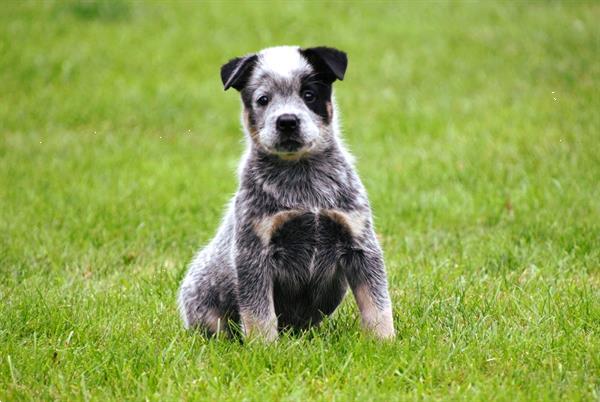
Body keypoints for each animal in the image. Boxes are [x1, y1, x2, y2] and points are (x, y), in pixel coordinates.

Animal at [178, 45, 394, 340]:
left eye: (309, 94)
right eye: (263, 99)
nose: (287, 121)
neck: (302, 181)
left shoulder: (359, 242)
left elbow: (377, 303)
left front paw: (384, 341)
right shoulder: (254, 252)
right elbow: (259, 314)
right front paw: (264, 346)